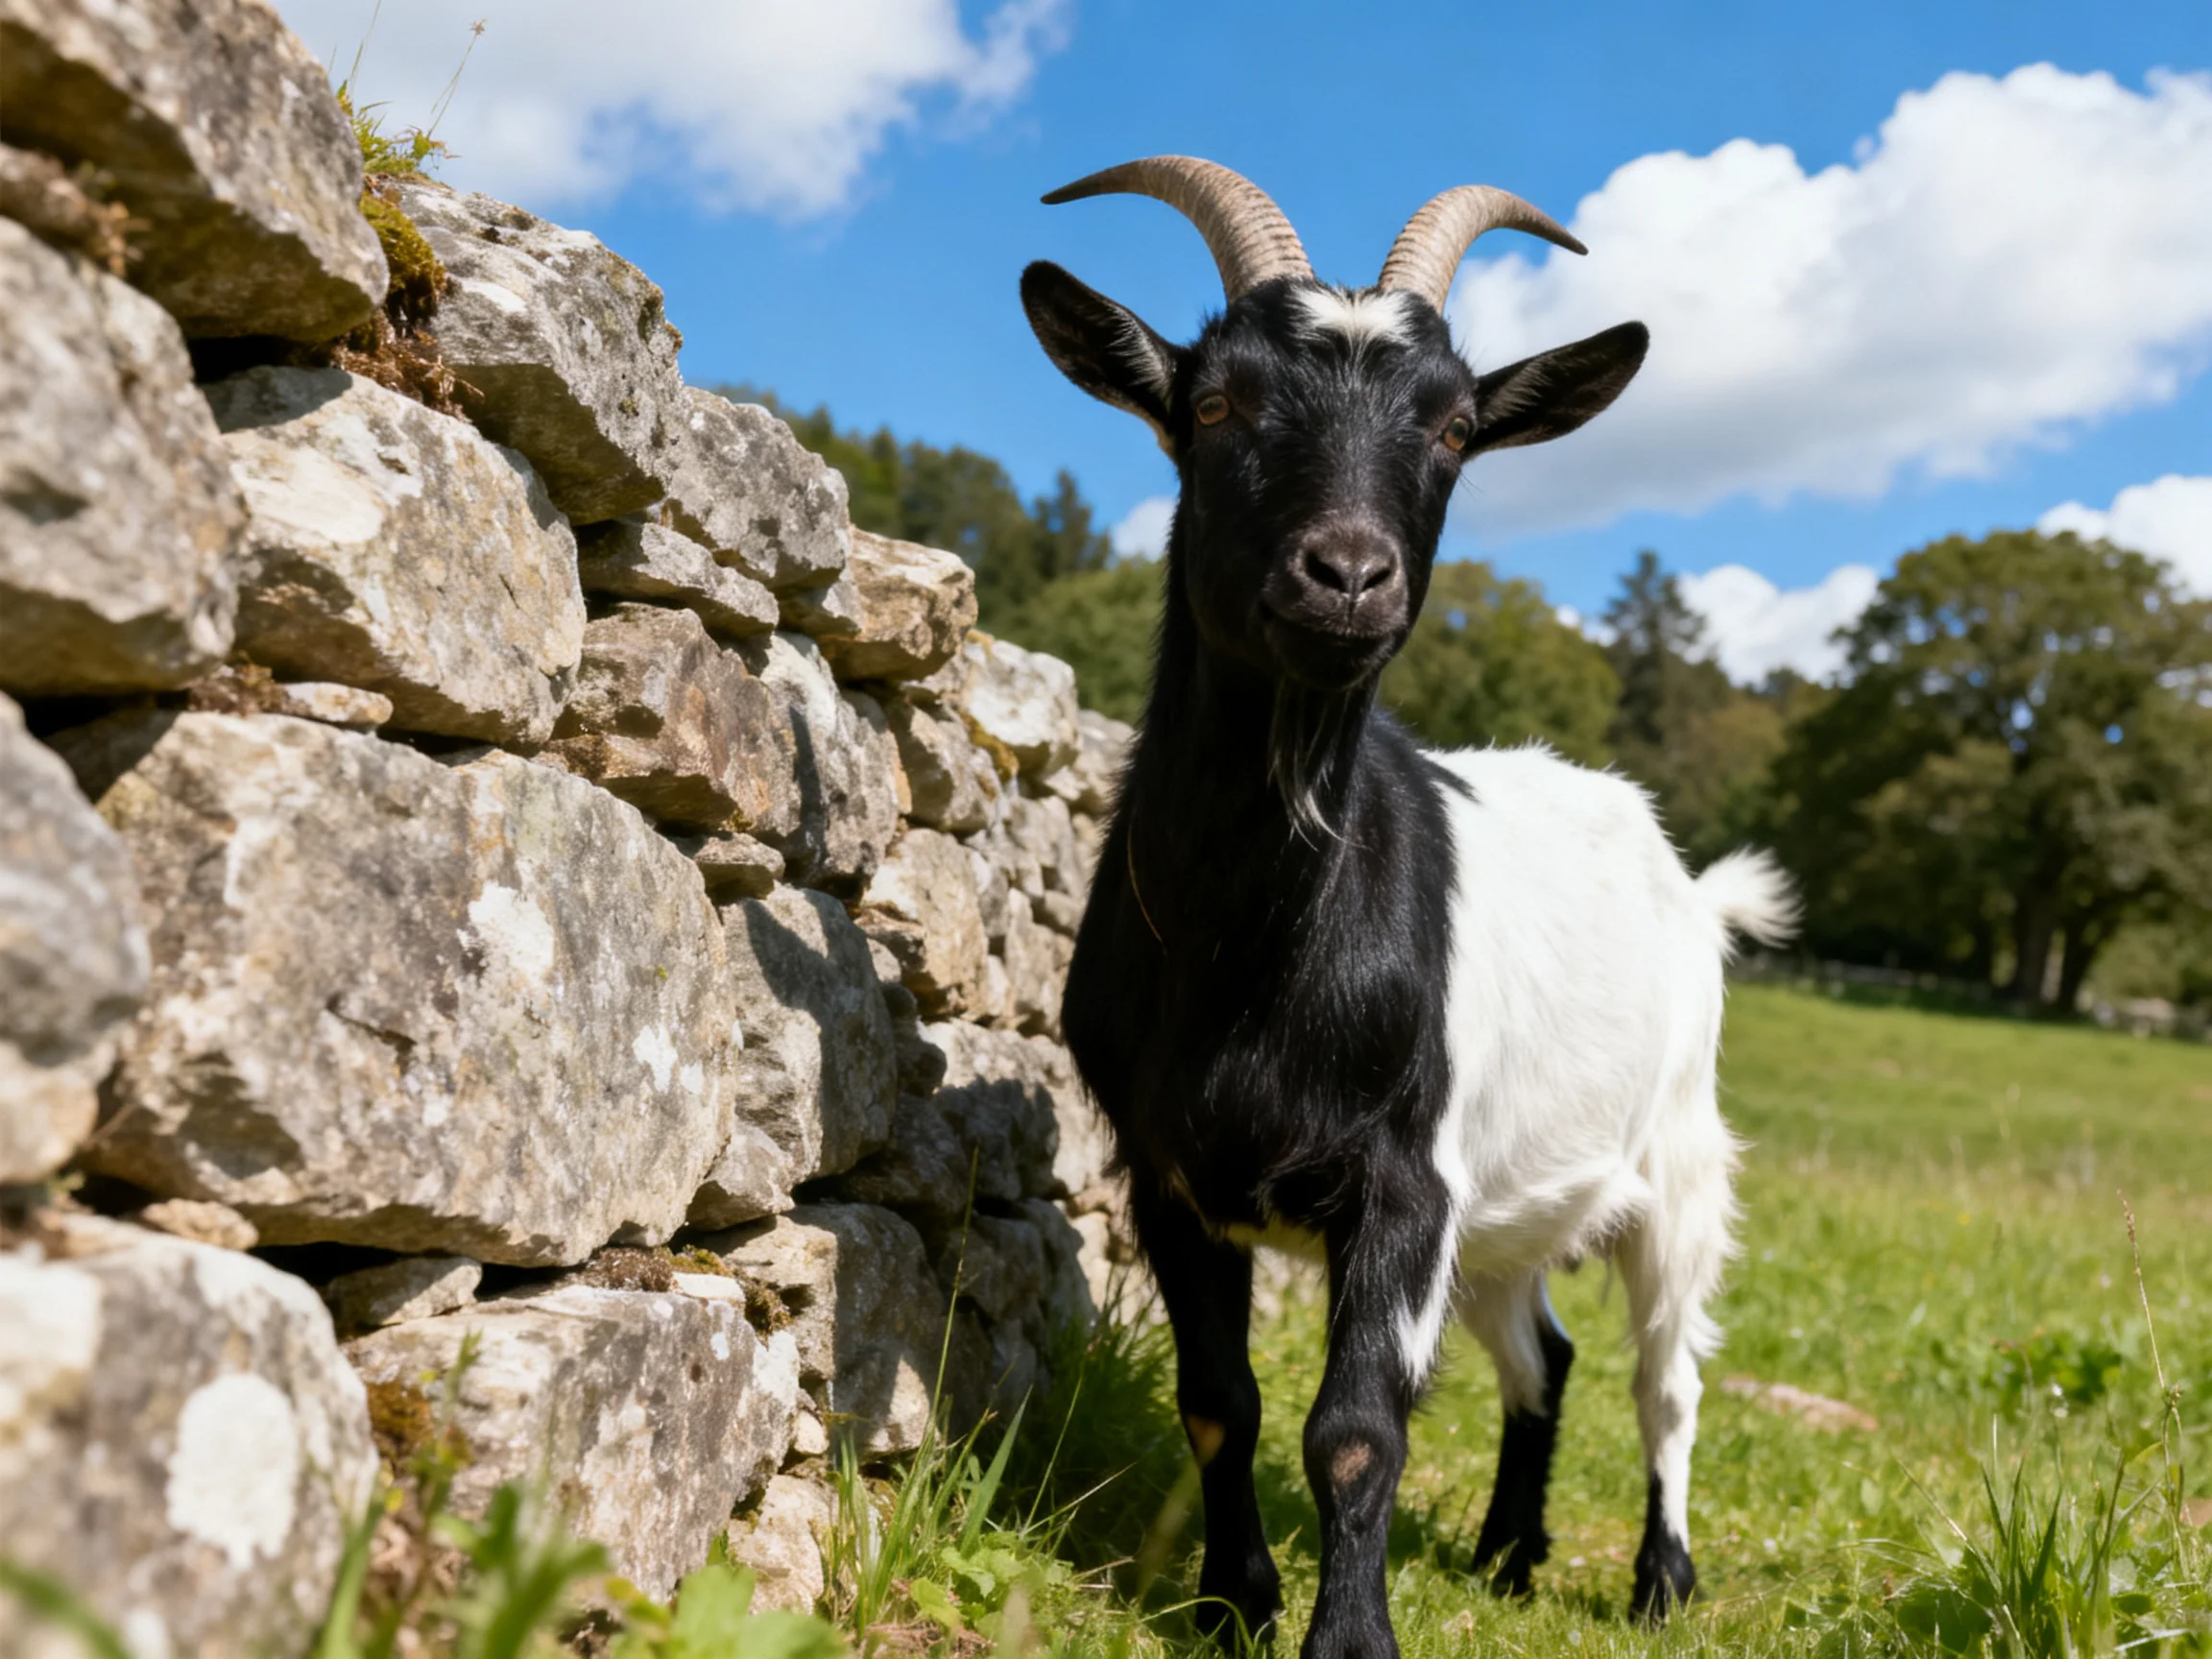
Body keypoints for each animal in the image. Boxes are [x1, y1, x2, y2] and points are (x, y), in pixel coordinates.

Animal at [1022, 158, 1797, 1659]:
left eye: (1450, 428)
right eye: (1217, 404)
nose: (1347, 575)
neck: (1259, 950)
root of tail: (1690, 881)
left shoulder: (1404, 1182)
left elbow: (1356, 1430)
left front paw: (1348, 1638)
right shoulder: (1168, 1173)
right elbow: (1223, 1403)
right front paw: (1234, 1603)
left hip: (1678, 1156)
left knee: (1668, 1376)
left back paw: (1660, 1580)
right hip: (1507, 1206)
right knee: (1544, 1351)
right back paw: (1508, 1550)